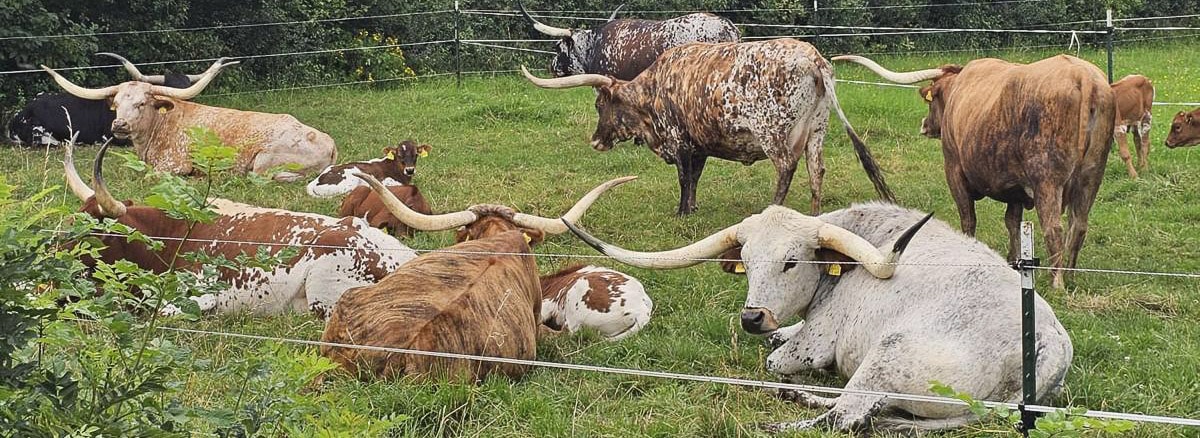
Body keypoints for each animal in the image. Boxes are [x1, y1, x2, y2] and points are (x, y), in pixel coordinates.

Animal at [835, 53, 1113, 286]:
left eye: (931, 101)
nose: (925, 125)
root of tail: (1084, 76)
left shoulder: (954, 171)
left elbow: (968, 218)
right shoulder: (1014, 189)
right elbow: (1012, 222)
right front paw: (1013, 261)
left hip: (1047, 181)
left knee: (1054, 229)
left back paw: (1056, 282)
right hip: (1091, 178)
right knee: (1079, 225)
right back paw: (1071, 275)